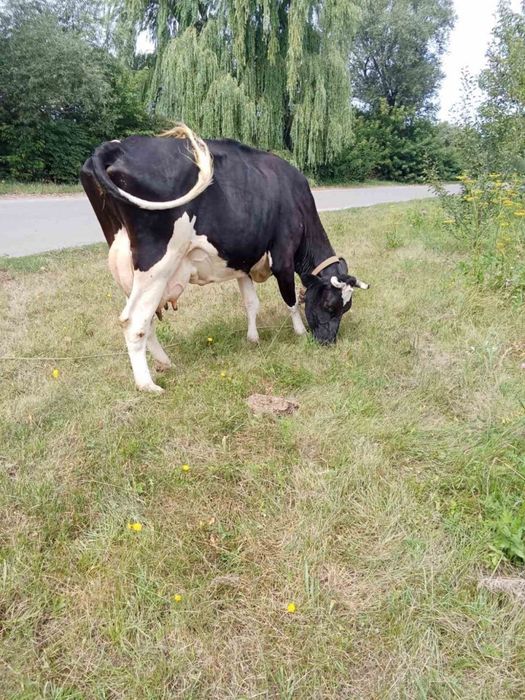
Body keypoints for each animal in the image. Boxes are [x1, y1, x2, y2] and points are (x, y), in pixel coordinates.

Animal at [80, 125, 369, 393]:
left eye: (346, 309)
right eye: (331, 305)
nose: (328, 342)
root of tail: (117, 146)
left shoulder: (243, 261)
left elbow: (251, 303)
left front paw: (253, 338)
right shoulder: (283, 259)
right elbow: (291, 302)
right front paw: (298, 333)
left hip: (130, 269)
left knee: (145, 319)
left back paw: (166, 363)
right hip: (157, 263)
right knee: (134, 321)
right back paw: (147, 385)